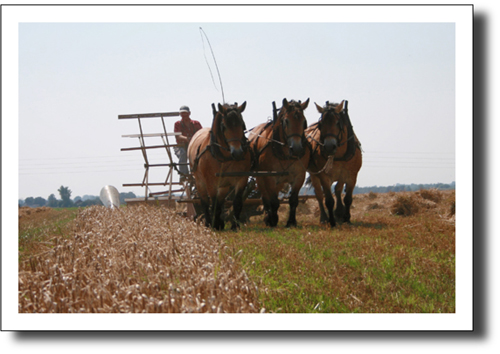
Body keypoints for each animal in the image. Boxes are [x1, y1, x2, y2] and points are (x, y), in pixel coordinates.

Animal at [187, 101, 250, 230]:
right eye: (224, 126)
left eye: (242, 124)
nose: (238, 153)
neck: (224, 157)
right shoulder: (211, 183)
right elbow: (213, 203)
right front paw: (214, 224)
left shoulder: (242, 179)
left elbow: (236, 202)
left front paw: (235, 225)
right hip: (200, 181)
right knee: (205, 201)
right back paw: (208, 222)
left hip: (223, 185)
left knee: (221, 201)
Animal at [249, 98, 310, 228]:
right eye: (286, 121)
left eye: (304, 121)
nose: (297, 149)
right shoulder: (269, 177)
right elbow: (273, 201)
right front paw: (272, 219)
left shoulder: (299, 176)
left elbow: (293, 200)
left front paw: (291, 222)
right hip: (260, 177)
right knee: (265, 197)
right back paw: (268, 217)